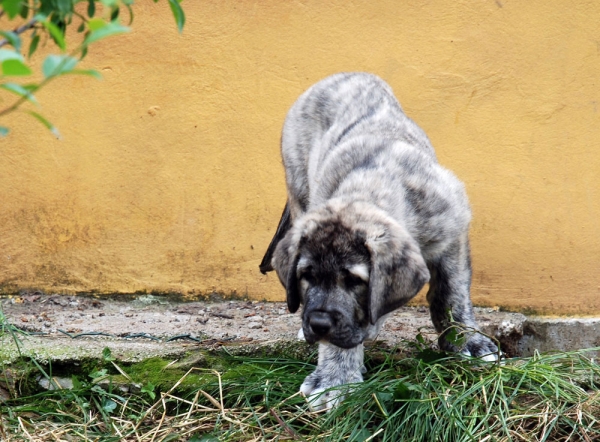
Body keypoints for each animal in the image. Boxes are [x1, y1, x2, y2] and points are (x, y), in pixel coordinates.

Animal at [260, 72, 500, 410]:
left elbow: (452, 295)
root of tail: (347, 74)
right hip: (298, 186)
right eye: (306, 275)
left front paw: (467, 341)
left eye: (355, 280)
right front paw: (335, 377)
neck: (375, 185)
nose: (317, 324)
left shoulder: (452, 232)